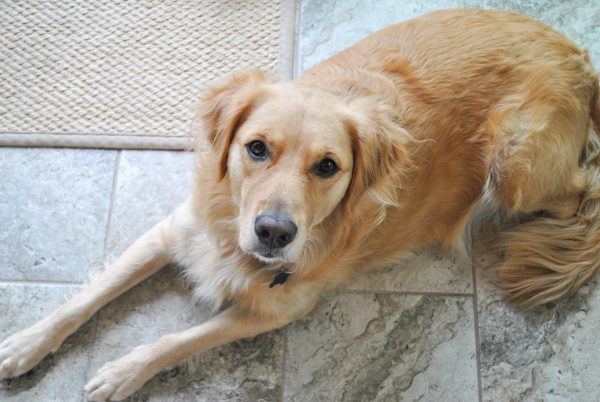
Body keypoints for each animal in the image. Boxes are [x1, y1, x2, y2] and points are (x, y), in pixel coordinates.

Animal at [1, 7, 600, 400]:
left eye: (328, 166)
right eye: (255, 149)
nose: (274, 232)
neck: (233, 235)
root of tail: (579, 57)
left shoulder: (277, 309)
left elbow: (176, 340)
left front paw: (122, 372)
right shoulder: (173, 231)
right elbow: (87, 296)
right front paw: (25, 344)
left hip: (516, 163)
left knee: (583, 188)